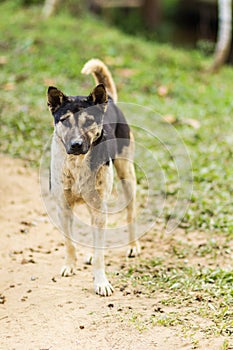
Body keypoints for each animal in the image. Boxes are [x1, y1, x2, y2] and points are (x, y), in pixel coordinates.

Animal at [47, 59, 140, 296]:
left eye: (89, 121)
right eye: (65, 121)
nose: (76, 144)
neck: (77, 164)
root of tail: (111, 101)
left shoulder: (100, 208)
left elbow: (100, 255)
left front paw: (101, 283)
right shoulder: (63, 207)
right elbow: (69, 242)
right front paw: (69, 265)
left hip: (127, 176)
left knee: (130, 213)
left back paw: (133, 246)